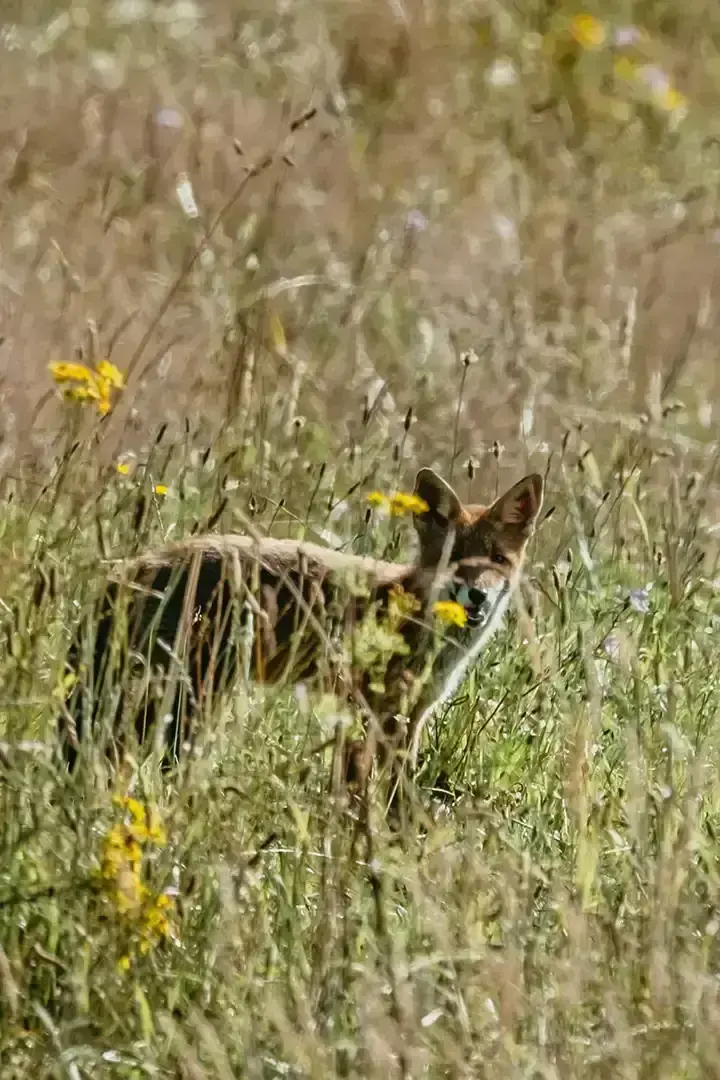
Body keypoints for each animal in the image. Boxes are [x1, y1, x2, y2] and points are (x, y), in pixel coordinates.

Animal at [59, 468, 544, 799]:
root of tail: (131, 566)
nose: (476, 596)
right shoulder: (371, 713)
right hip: (189, 703)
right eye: (455, 558)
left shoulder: (408, 719)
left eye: (497, 560)